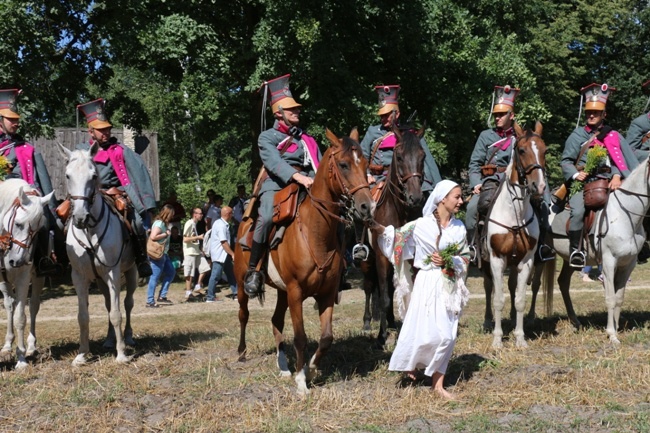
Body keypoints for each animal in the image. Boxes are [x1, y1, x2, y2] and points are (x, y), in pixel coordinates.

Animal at [0, 179, 53, 368]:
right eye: (18, 224)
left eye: (37, 231)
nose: (17, 261)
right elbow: (11, 309)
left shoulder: (23, 278)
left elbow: (21, 317)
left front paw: (21, 359)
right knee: (9, 305)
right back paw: (7, 345)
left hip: (37, 278)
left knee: (33, 306)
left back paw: (30, 346)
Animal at [59, 143, 138, 364]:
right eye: (68, 175)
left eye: (93, 176)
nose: (80, 217)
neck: (90, 231)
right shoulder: (79, 276)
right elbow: (83, 316)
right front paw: (82, 354)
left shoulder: (113, 273)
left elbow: (117, 313)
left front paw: (121, 354)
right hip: (101, 280)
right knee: (108, 304)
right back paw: (110, 340)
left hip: (131, 273)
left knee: (128, 303)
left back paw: (127, 337)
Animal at [235, 126, 372, 394]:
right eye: (343, 164)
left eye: (365, 163)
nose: (366, 206)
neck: (314, 231)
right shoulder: (296, 292)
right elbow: (300, 337)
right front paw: (301, 382)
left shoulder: (326, 293)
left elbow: (326, 337)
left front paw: (311, 368)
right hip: (241, 284)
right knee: (243, 314)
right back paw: (242, 352)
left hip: (281, 292)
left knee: (276, 320)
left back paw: (283, 367)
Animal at [360, 125, 426, 344]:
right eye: (399, 156)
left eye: (422, 156)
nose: (415, 197)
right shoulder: (381, 257)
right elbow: (384, 297)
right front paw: (381, 337)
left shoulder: (410, 256)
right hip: (367, 261)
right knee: (371, 287)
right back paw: (368, 323)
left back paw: (390, 322)